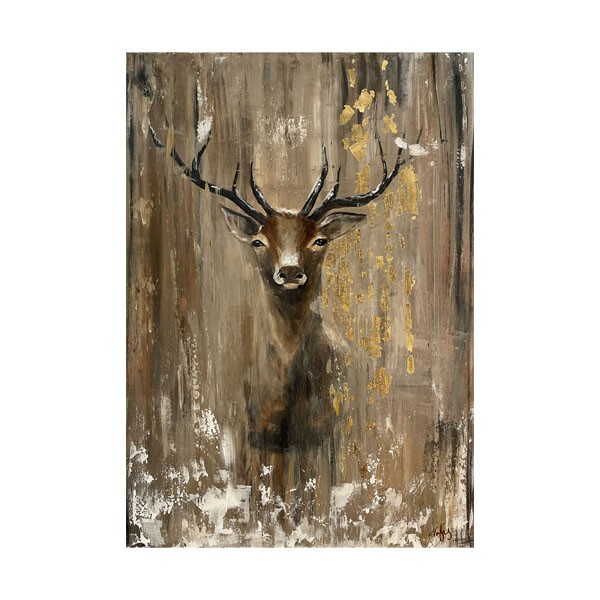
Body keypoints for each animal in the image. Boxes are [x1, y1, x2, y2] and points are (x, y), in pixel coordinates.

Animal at [149, 120, 420, 527]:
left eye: (319, 239)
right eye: (259, 241)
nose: (290, 272)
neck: (285, 397)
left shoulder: (323, 435)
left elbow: (314, 506)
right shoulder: (255, 436)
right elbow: (264, 506)